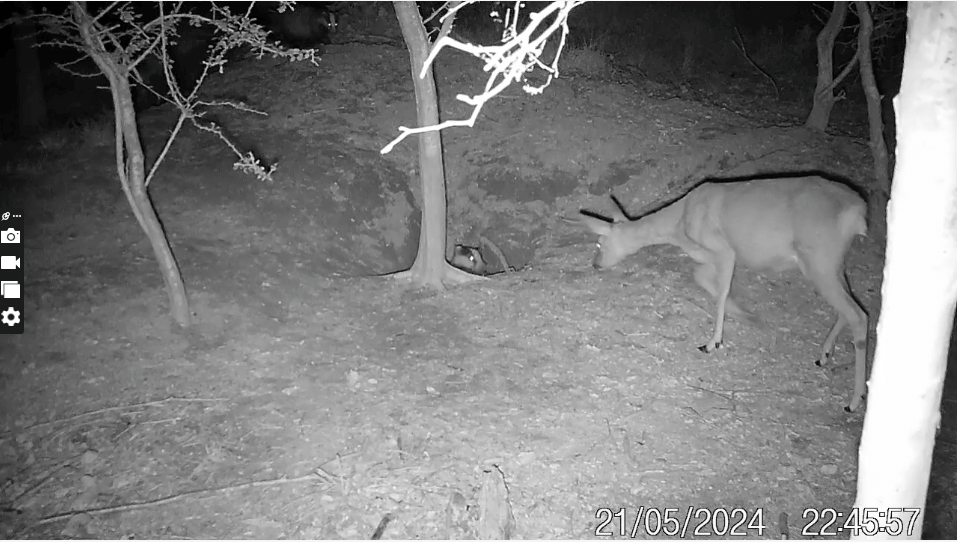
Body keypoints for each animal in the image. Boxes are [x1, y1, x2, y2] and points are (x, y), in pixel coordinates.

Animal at [573, 176, 870, 412]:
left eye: (599, 242)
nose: (595, 264)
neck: (679, 225)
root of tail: (858, 213)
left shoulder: (725, 250)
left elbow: (722, 292)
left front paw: (713, 342)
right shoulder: (708, 257)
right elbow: (702, 278)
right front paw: (748, 316)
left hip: (819, 258)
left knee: (858, 315)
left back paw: (853, 401)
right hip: (832, 262)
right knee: (851, 306)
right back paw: (824, 355)